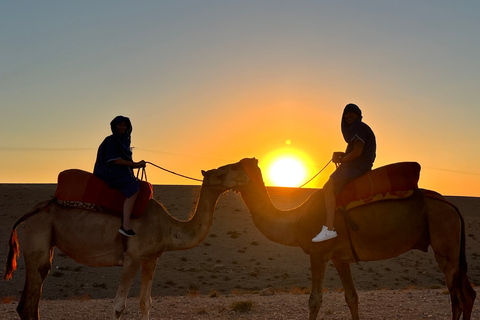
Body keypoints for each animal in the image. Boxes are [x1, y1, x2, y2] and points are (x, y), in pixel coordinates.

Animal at [3, 165, 249, 320]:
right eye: (221, 172)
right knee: (29, 303)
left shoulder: (151, 259)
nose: (244, 175)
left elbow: (146, 302)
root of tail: (31, 212)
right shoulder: (132, 258)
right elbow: (118, 306)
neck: (166, 227)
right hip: (38, 235)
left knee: (28, 304)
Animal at [226, 158, 476, 320]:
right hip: (454, 246)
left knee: (456, 296)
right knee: (468, 293)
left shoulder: (318, 253)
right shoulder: (340, 258)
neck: (296, 220)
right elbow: (351, 297)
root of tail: (450, 205)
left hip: (444, 236)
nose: (217, 170)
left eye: (234, 167)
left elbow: (314, 300)